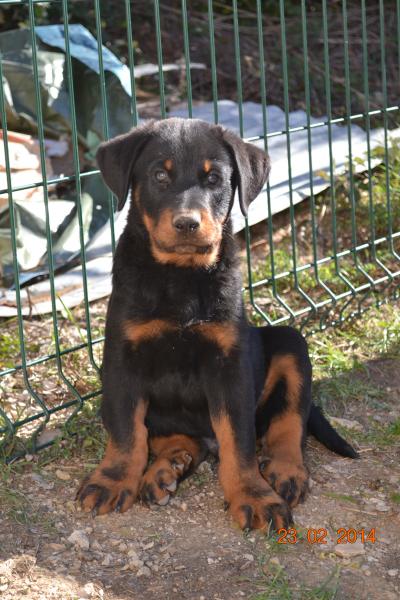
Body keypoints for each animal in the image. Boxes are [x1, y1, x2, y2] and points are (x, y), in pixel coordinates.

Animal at [77, 118, 356, 528]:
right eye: (159, 175)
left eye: (214, 179)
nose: (187, 223)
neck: (181, 276)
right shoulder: (122, 358)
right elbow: (127, 429)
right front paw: (112, 480)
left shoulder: (230, 366)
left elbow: (238, 441)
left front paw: (253, 495)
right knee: (173, 437)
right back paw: (167, 467)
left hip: (290, 342)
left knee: (289, 420)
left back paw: (286, 471)